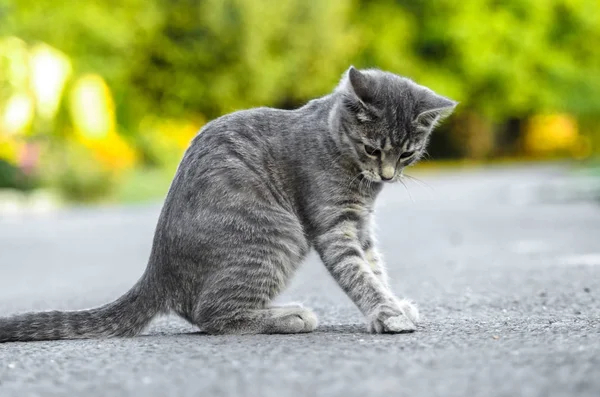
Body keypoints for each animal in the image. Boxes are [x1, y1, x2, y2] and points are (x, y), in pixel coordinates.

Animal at [0, 65, 454, 340]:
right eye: (373, 149)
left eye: (407, 154)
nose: (387, 175)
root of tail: (157, 271)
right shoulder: (333, 225)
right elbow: (359, 273)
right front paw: (386, 314)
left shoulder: (361, 226)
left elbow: (375, 267)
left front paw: (394, 304)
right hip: (279, 235)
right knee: (211, 315)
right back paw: (289, 316)